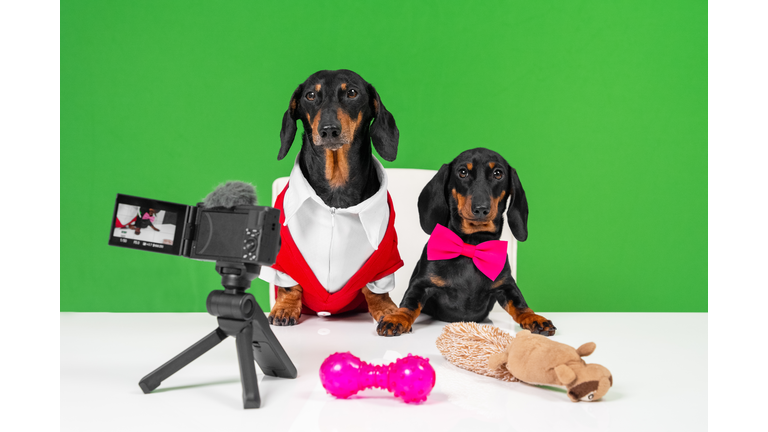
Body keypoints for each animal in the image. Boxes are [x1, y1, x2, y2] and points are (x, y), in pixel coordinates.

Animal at [380, 148, 556, 338]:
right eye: (462, 172)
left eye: (498, 173)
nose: (481, 209)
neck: (472, 246)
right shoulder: (421, 283)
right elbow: (409, 303)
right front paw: (397, 318)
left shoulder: (506, 285)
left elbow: (520, 305)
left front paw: (535, 318)